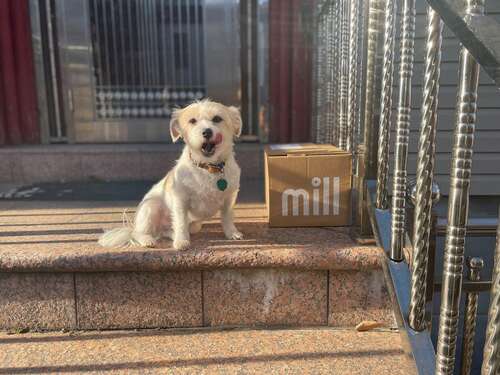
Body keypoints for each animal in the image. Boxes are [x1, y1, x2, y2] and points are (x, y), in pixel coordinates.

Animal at [97, 100, 242, 250]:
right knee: (137, 233)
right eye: (192, 121)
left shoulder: (229, 198)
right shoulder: (180, 200)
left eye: (217, 119)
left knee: (174, 230)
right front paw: (181, 241)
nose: (207, 132)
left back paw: (171, 233)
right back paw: (147, 240)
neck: (208, 167)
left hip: (194, 224)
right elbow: (181, 222)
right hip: (150, 207)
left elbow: (227, 217)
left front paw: (232, 233)